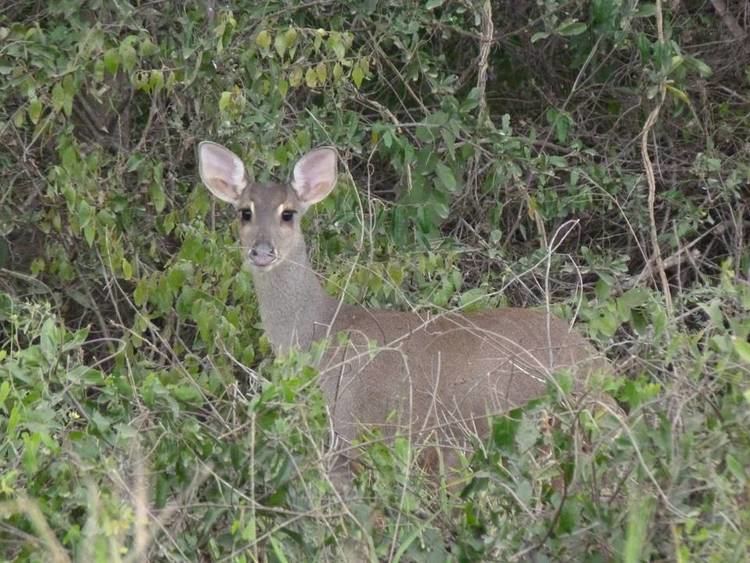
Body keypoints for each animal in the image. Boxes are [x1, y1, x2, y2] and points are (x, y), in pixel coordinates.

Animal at [198, 142, 612, 494]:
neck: (317, 332)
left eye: (288, 213)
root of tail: (596, 370)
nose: (261, 251)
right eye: (245, 211)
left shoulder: (346, 426)